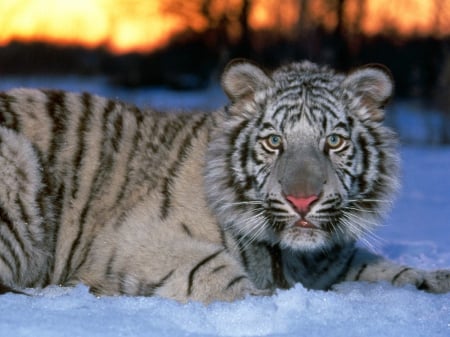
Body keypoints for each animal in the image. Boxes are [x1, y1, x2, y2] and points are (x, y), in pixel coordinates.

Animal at [0, 58, 448, 302]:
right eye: (274, 141)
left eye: (334, 141)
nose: (302, 201)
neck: (293, 255)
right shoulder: (131, 238)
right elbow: (214, 270)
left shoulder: (333, 260)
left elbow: (387, 268)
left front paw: (433, 279)